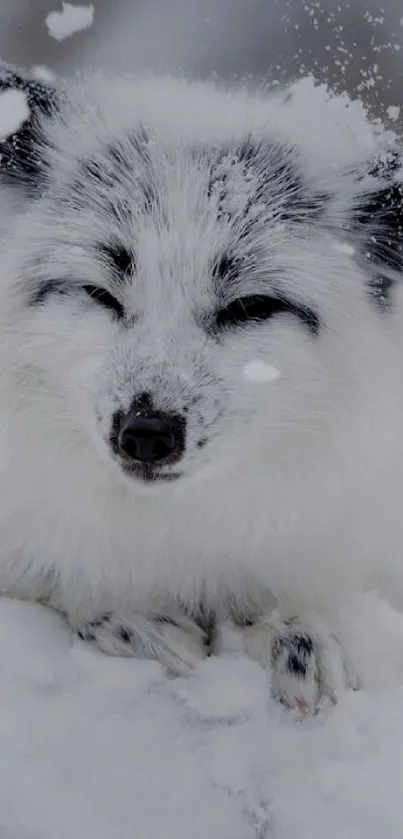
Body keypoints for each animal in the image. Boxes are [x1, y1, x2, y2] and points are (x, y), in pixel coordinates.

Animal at [0, 62, 403, 712]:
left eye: (250, 306)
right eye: (100, 293)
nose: (146, 433)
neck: (163, 527)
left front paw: (296, 638)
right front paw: (128, 618)